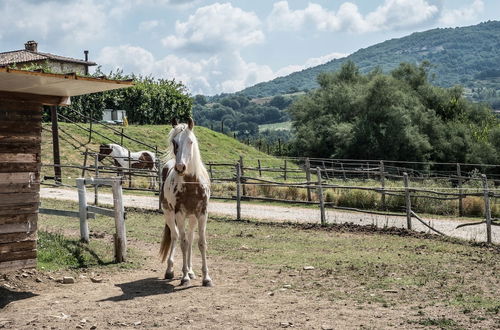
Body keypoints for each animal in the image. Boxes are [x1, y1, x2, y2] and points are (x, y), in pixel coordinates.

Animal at [159, 118, 212, 286]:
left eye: (190, 141)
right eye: (174, 142)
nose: (180, 167)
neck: (191, 184)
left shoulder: (202, 214)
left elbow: (201, 243)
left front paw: (206, 277)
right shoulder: (180, 214)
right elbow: (182, 242)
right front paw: (184, 277)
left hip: (193, 217)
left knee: (190, 238)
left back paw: (190, 270)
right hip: (169, 213)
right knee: (176, 236)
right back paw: (170, 270)